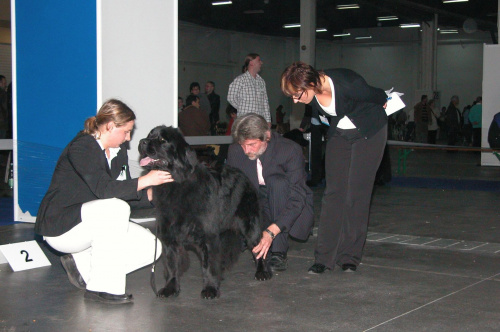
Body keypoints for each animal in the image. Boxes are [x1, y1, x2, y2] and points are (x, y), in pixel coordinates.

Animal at [139, 126, 272, 300]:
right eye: (149, 135)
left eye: (162, 140)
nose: (142, 141)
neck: (176, 184)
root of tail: (244, 175)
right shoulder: (169, 235)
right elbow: (171, 263)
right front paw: (170, 288)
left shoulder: (208, 235)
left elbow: (209, 264)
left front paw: (210, 289)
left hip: (250, 225)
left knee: (259, 247)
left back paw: (262, 271)